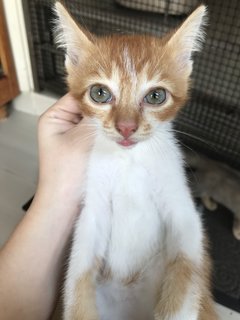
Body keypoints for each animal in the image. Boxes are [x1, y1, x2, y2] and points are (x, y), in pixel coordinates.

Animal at [54, 3, 218, 320]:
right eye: (100, 93)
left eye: (156, 96)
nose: (126, 127)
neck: (128, 161)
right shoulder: (93, 212)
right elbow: (76, 275)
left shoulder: (183, 211)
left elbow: (187, 267)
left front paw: (175, 310)